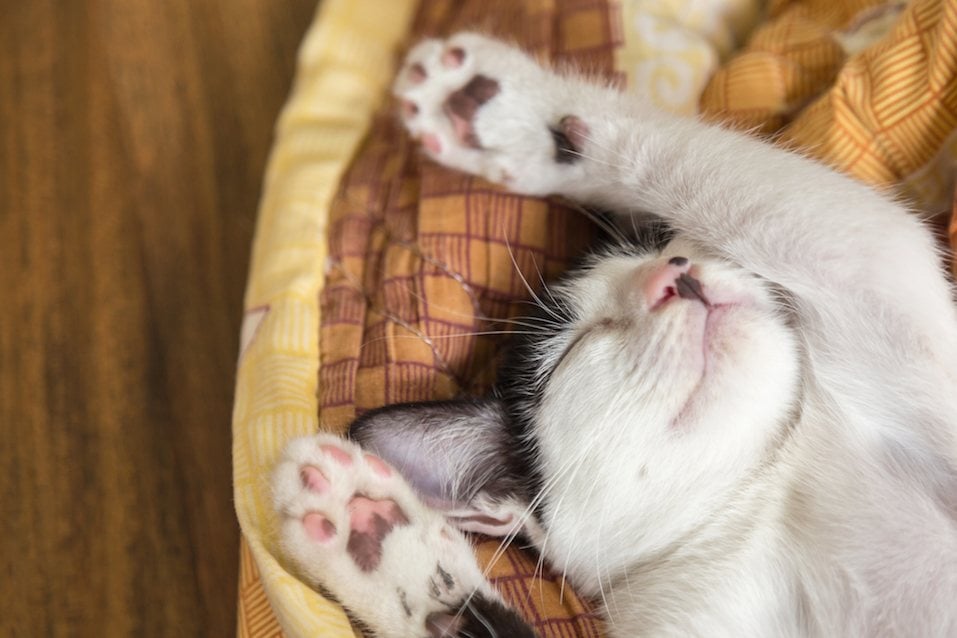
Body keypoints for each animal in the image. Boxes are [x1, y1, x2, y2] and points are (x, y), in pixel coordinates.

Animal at [270, 35, 956, 638]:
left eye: (670, 244)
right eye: (573, 348)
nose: (675, 277)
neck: (759, 494)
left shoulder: (869, 274)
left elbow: (726, 175)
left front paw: (499, 109)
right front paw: (381, 544)